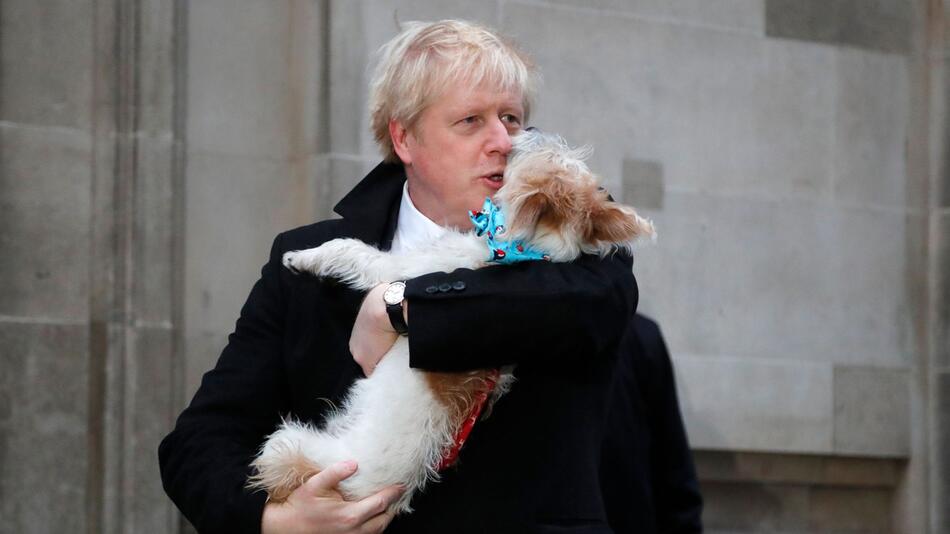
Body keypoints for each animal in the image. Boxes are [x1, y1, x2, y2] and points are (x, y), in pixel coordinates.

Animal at [249, 129, 660, 516]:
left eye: (546, 154)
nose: (521, 132)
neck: (515, 250)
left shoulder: (400, 269)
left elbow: (351, 250)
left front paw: (302, 257)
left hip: (293, 443)